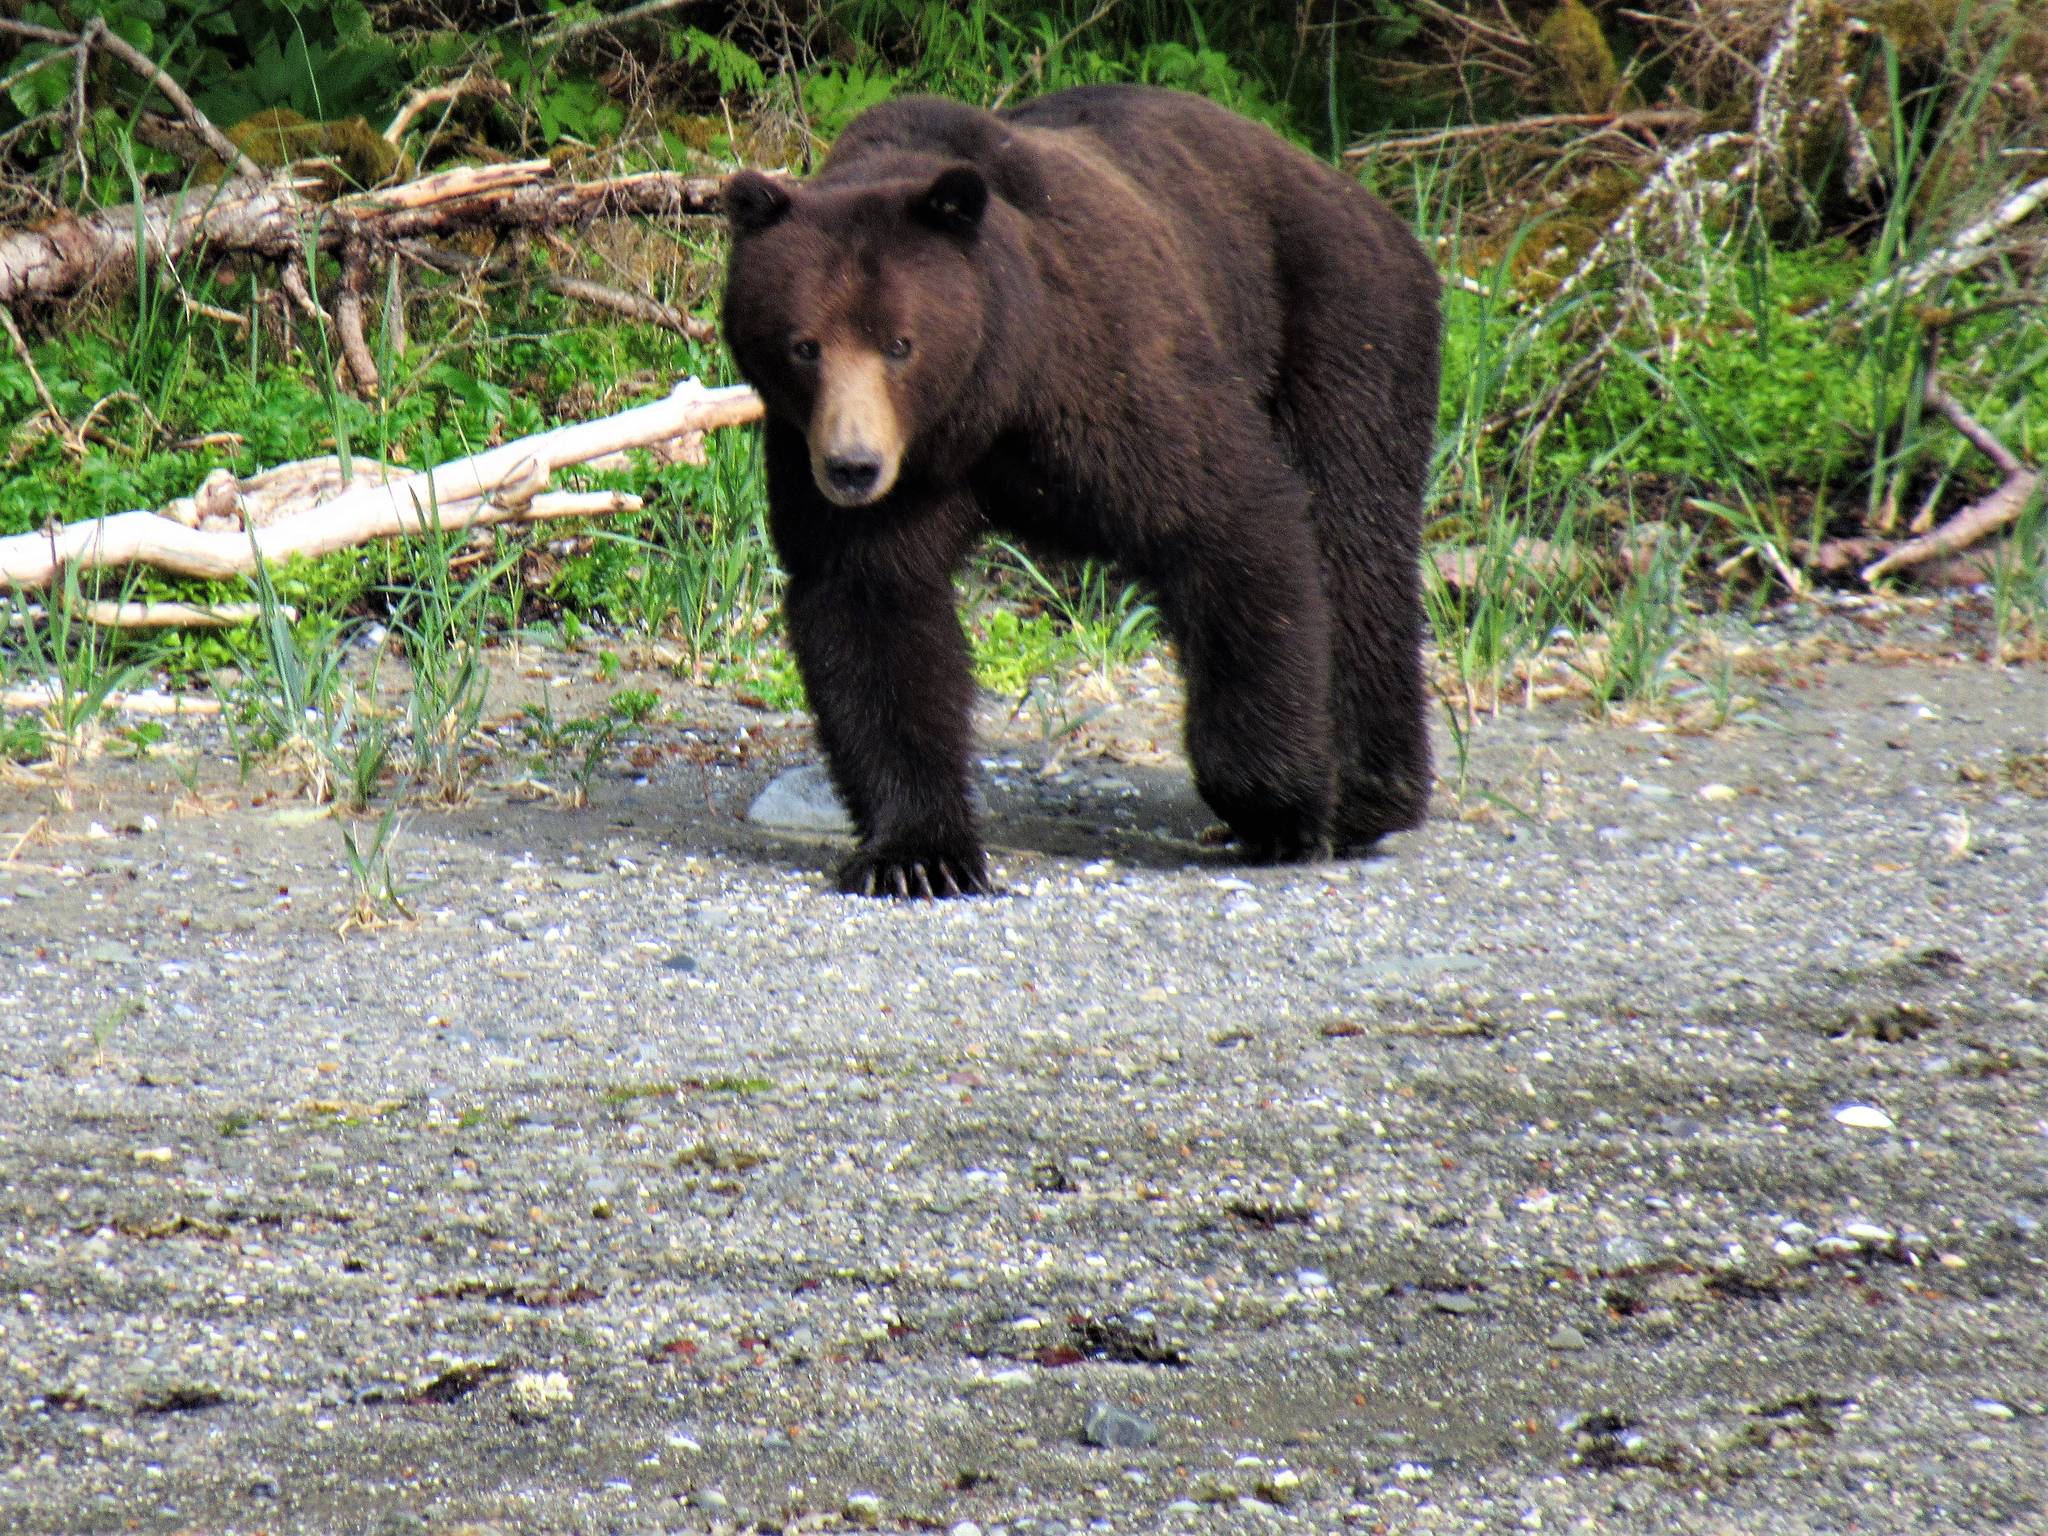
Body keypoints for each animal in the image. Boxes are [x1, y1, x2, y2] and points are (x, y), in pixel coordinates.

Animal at [720, 87, 1441, 901]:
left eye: (900, 343)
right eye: (803, 345)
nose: (853, 467)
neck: (990, 394)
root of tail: (1354, 191)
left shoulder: (1107, 371)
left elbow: (1229, 521)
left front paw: (1279, 806)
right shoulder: (855, 464)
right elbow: (873, 607)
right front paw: (918, 856)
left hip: (1339, 326)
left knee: (1356, 543)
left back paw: (1368, 795)